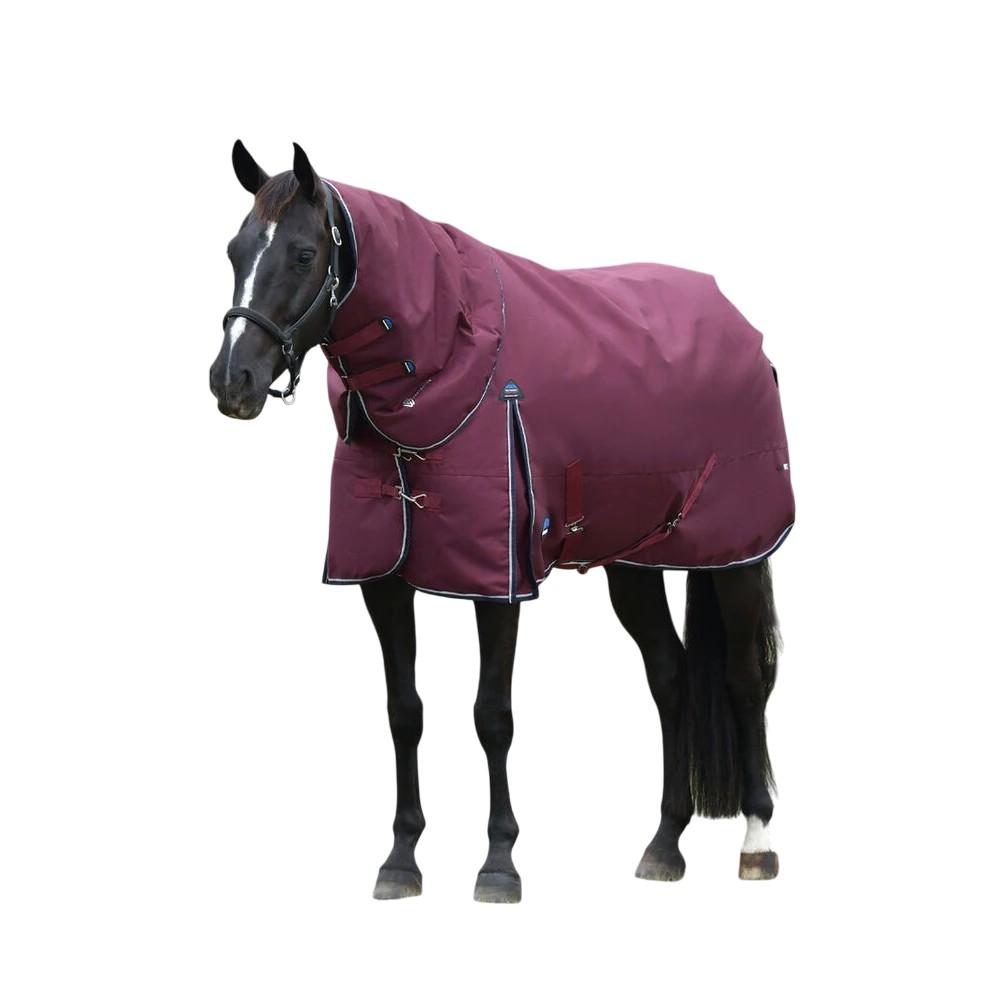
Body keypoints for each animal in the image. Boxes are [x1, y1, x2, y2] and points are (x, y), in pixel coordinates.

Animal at [209, 141, 788, 902]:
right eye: (234, 249)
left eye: (304, 254)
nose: (231, 381)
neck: (443, 367)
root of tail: (739, 326)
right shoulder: (382, 580)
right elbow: (404, 711)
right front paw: (401, 859)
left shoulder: (498, 579)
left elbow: (493, 716)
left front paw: (499, 863)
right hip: (635, 562)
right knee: (671, 675)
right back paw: (664, 845)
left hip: (735, 555)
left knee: (744, 680)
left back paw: (757, 842)